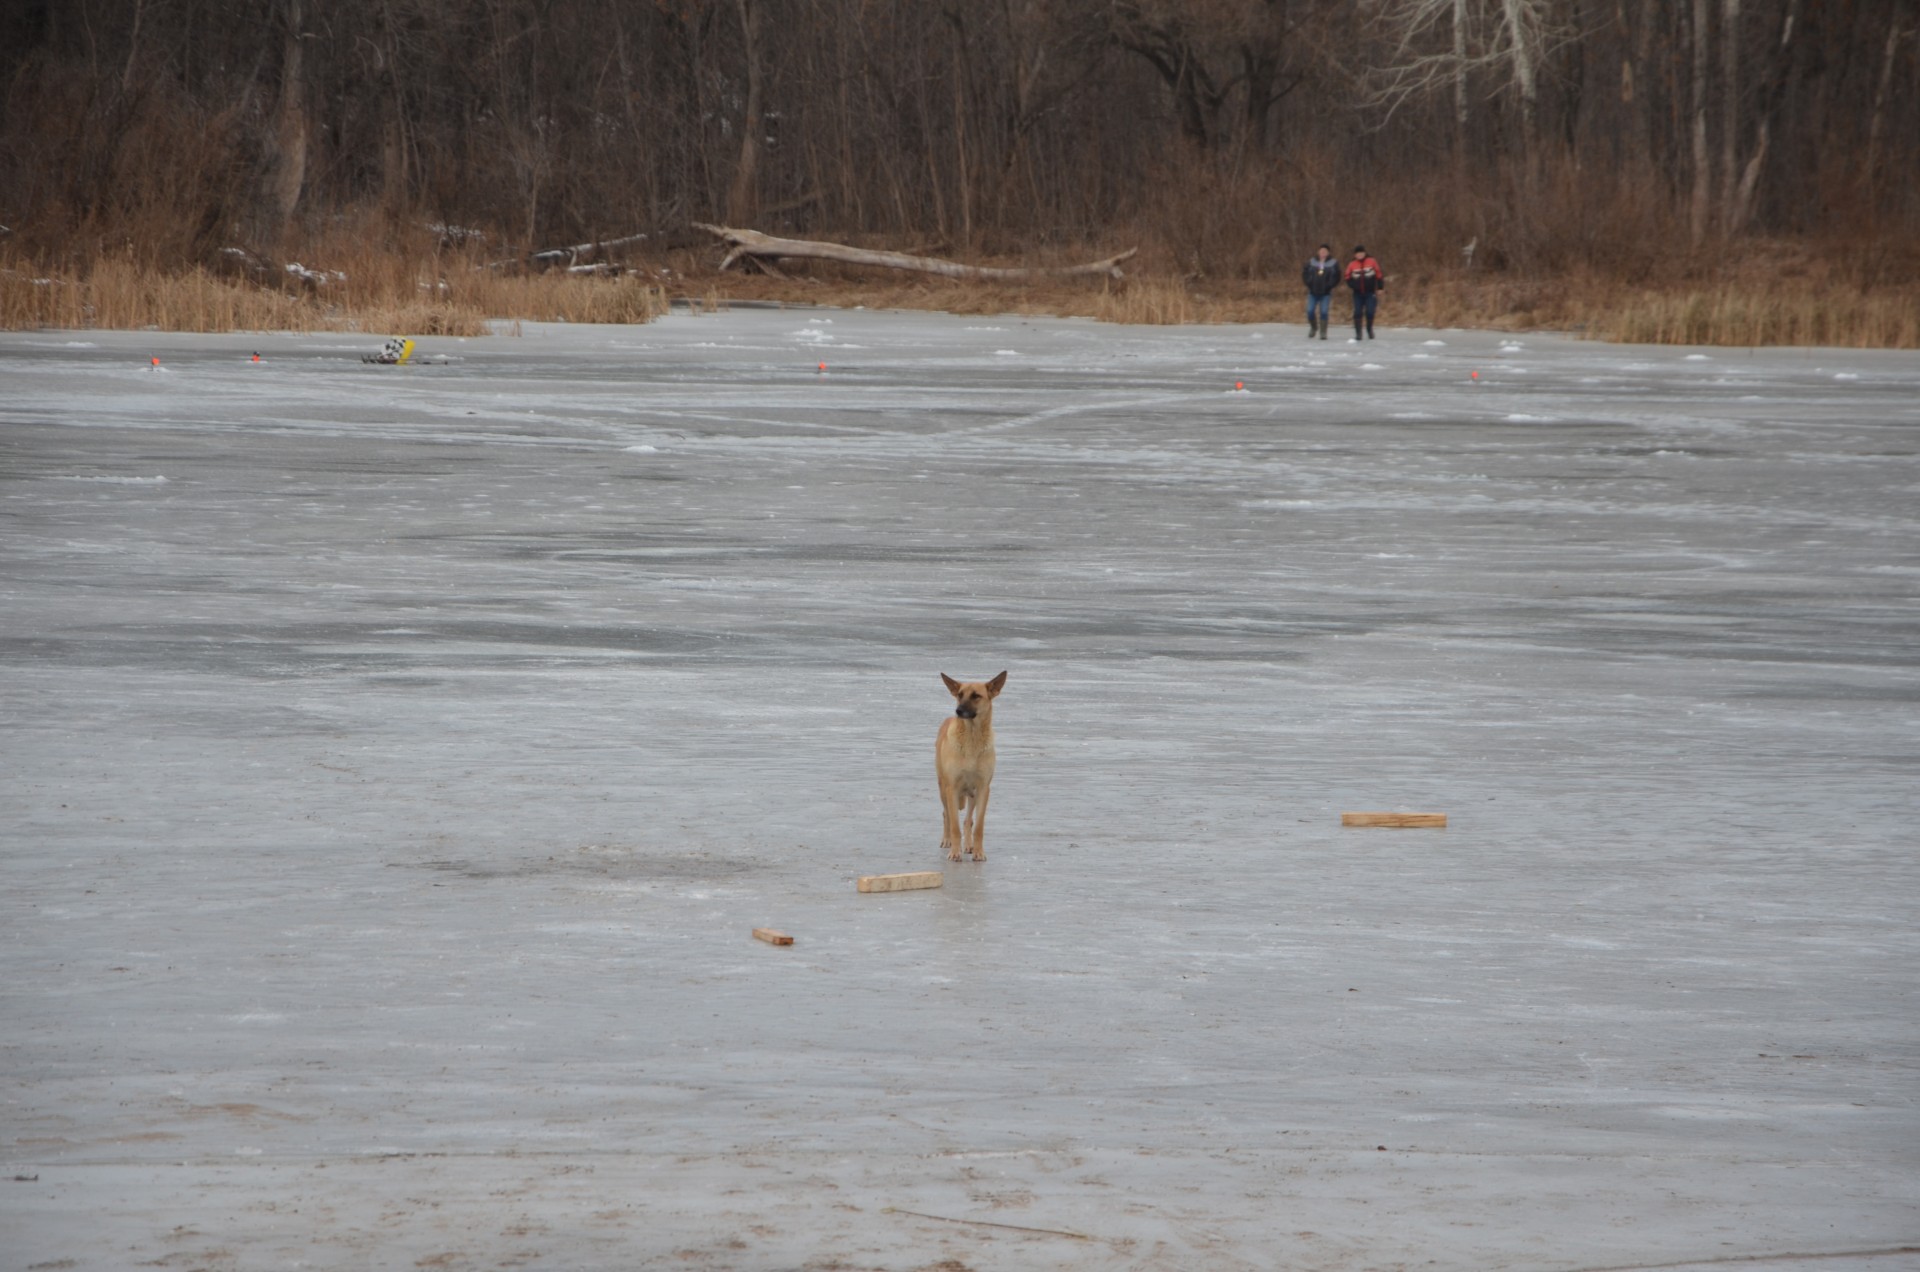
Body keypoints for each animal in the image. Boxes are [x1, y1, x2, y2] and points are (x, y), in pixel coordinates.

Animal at [936, 671, 1007, 861]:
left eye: (976, 696)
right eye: (959, 695)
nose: (958, 711)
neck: (972, 738)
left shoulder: (983, 788)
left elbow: (978, 826)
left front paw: (978, 851)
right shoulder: (952, 788)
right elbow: (954, 825)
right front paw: (955, 852)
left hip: (973, 794)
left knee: (968, 820)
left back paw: (968, 845)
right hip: (943, 789)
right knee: (946, 815)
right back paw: (947, 841)